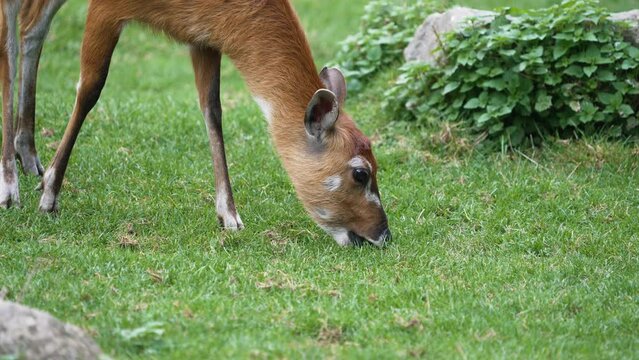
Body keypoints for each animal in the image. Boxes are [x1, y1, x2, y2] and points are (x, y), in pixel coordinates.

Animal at [15, 0, 392, 245]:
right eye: (361, 173)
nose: (383, 235)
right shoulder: (106, 8)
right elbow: (89, 88)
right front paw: (49, 197)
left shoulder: (203, 37)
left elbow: (212, 109)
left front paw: (230, 217)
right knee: (27, 27)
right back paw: (14, 183)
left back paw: (26, 156)